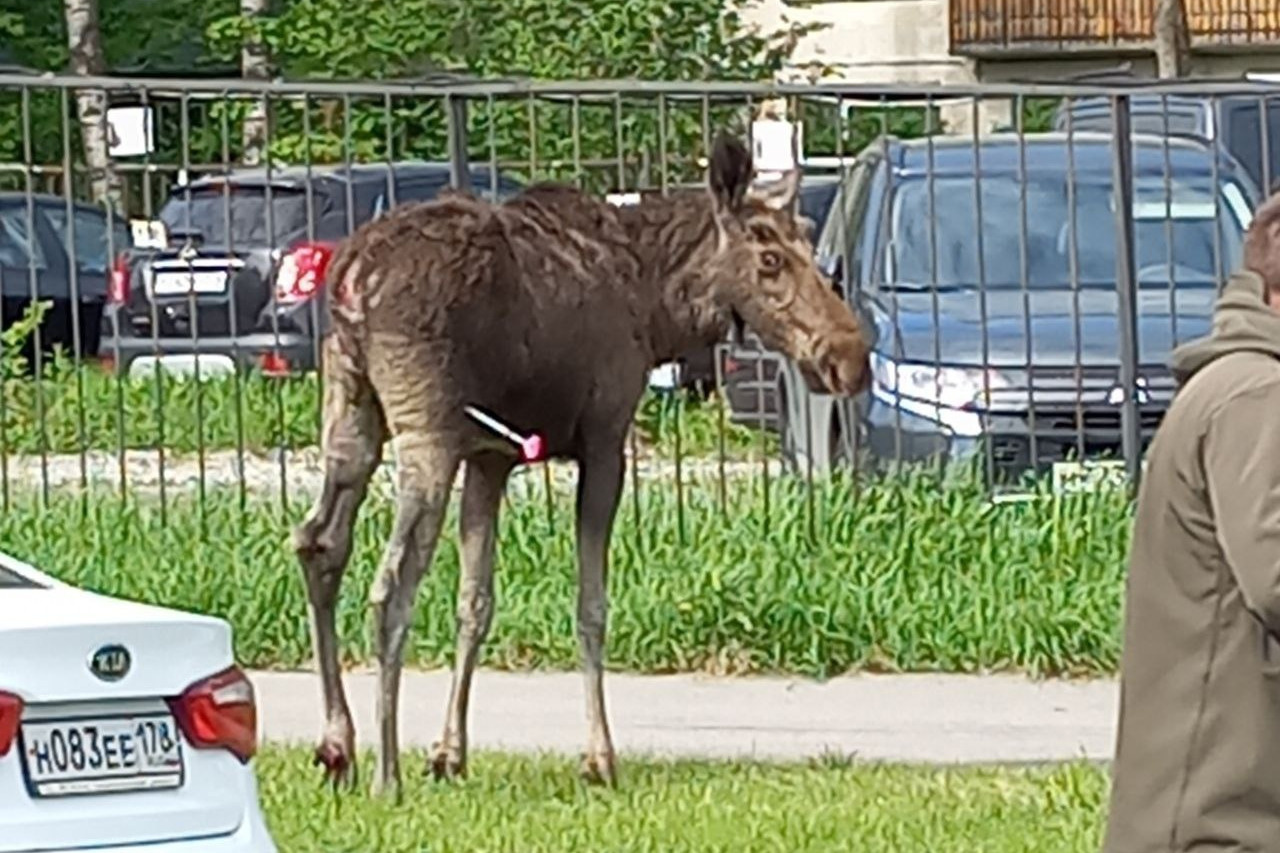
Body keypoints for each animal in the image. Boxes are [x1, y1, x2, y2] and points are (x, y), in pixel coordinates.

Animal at [290, 129, 870, 794]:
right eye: (770, 258)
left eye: (808, 241)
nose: (850, 357)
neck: (658, 307)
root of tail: (349, 283)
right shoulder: (603, 439)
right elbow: (591, 606)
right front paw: (599, 756)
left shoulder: (490, 457)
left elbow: (475, 603)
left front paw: (450, 753)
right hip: (425, 431)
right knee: (391, 582)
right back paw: (387, 772)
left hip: (350, 408)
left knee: (318, 543)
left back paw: (338, 743)